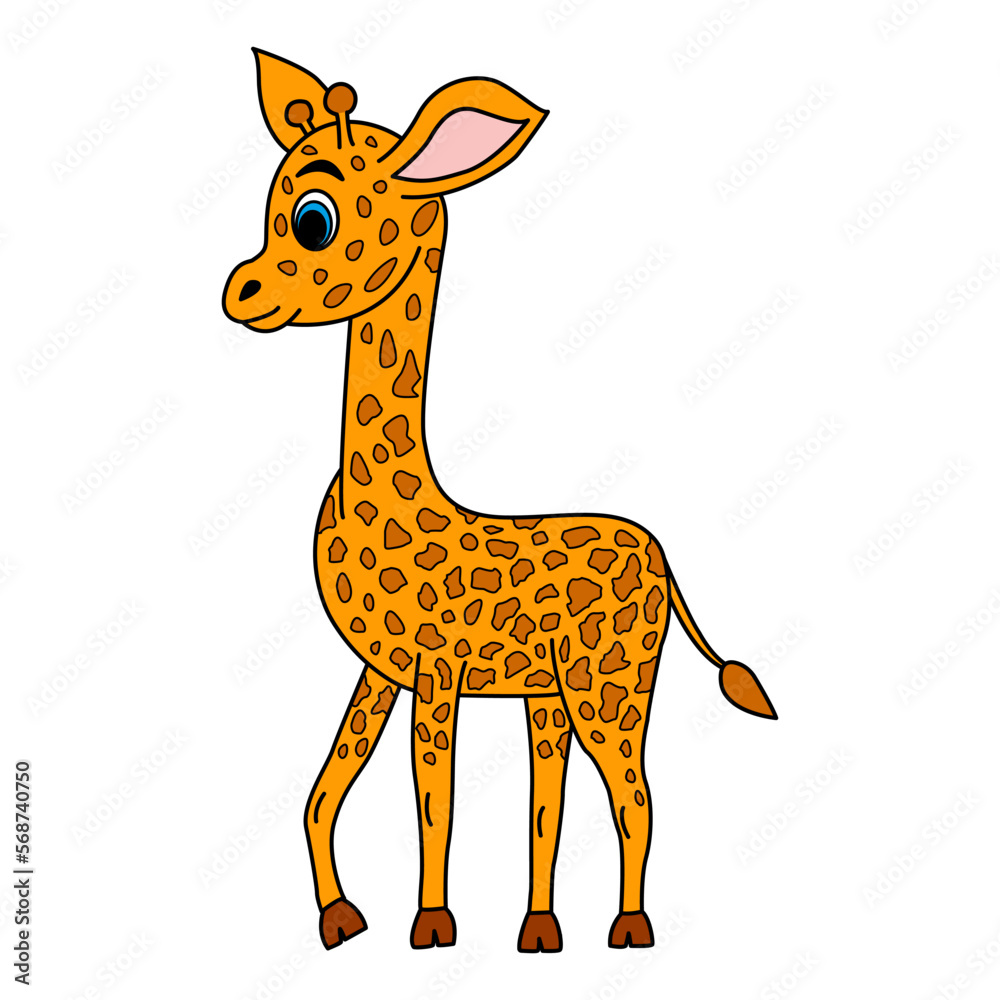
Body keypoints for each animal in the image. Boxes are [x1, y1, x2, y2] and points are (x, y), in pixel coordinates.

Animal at [222, 49, 778, 953]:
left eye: (312, 219)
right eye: (272, 204)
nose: (240, 293)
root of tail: (664, 560)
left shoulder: (437, 670)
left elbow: (432, 798)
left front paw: (431, 924)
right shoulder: (381, 669)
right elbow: (326, 785)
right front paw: (342, 919)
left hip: (612, 685)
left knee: (634, 795)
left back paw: (629, 928)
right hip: (554, 693)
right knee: (555, 798)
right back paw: (540, 929)